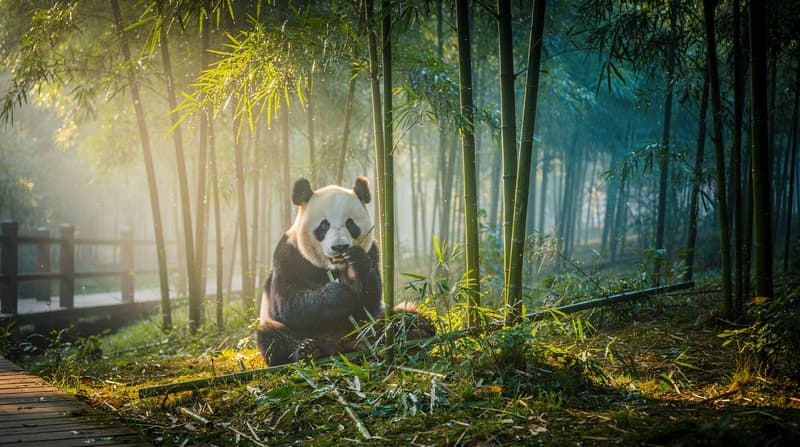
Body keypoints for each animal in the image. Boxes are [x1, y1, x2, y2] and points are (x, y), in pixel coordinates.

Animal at [257, 176, 433, 366]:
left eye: (350, 224)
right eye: (324, 226)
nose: (339, 247)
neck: (334, 267)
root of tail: (342, 344)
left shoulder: (373, 252)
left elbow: (368, 301)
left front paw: (355, 266)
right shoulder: (289, 256)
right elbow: (287, 303)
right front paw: (338, 295)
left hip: (370, 326)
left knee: (401, 317)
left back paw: (418, 331)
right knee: (271, 336)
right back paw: (307, 351)